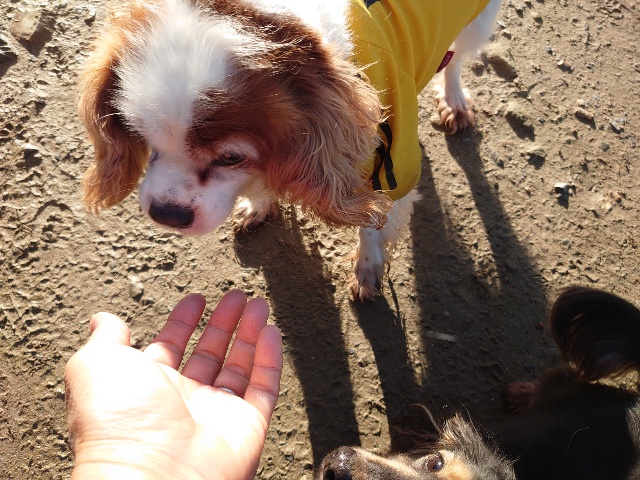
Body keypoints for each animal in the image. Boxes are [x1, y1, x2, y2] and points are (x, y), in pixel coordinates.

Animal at [78, 0, 502, 299]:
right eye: (140, 136)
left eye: (231, 157)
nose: (166, 215)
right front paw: (259, 204)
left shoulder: (387, 165)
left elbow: (373, 223)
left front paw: (368, 267)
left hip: (475, 23)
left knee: (456, 60)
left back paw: (454, 100)